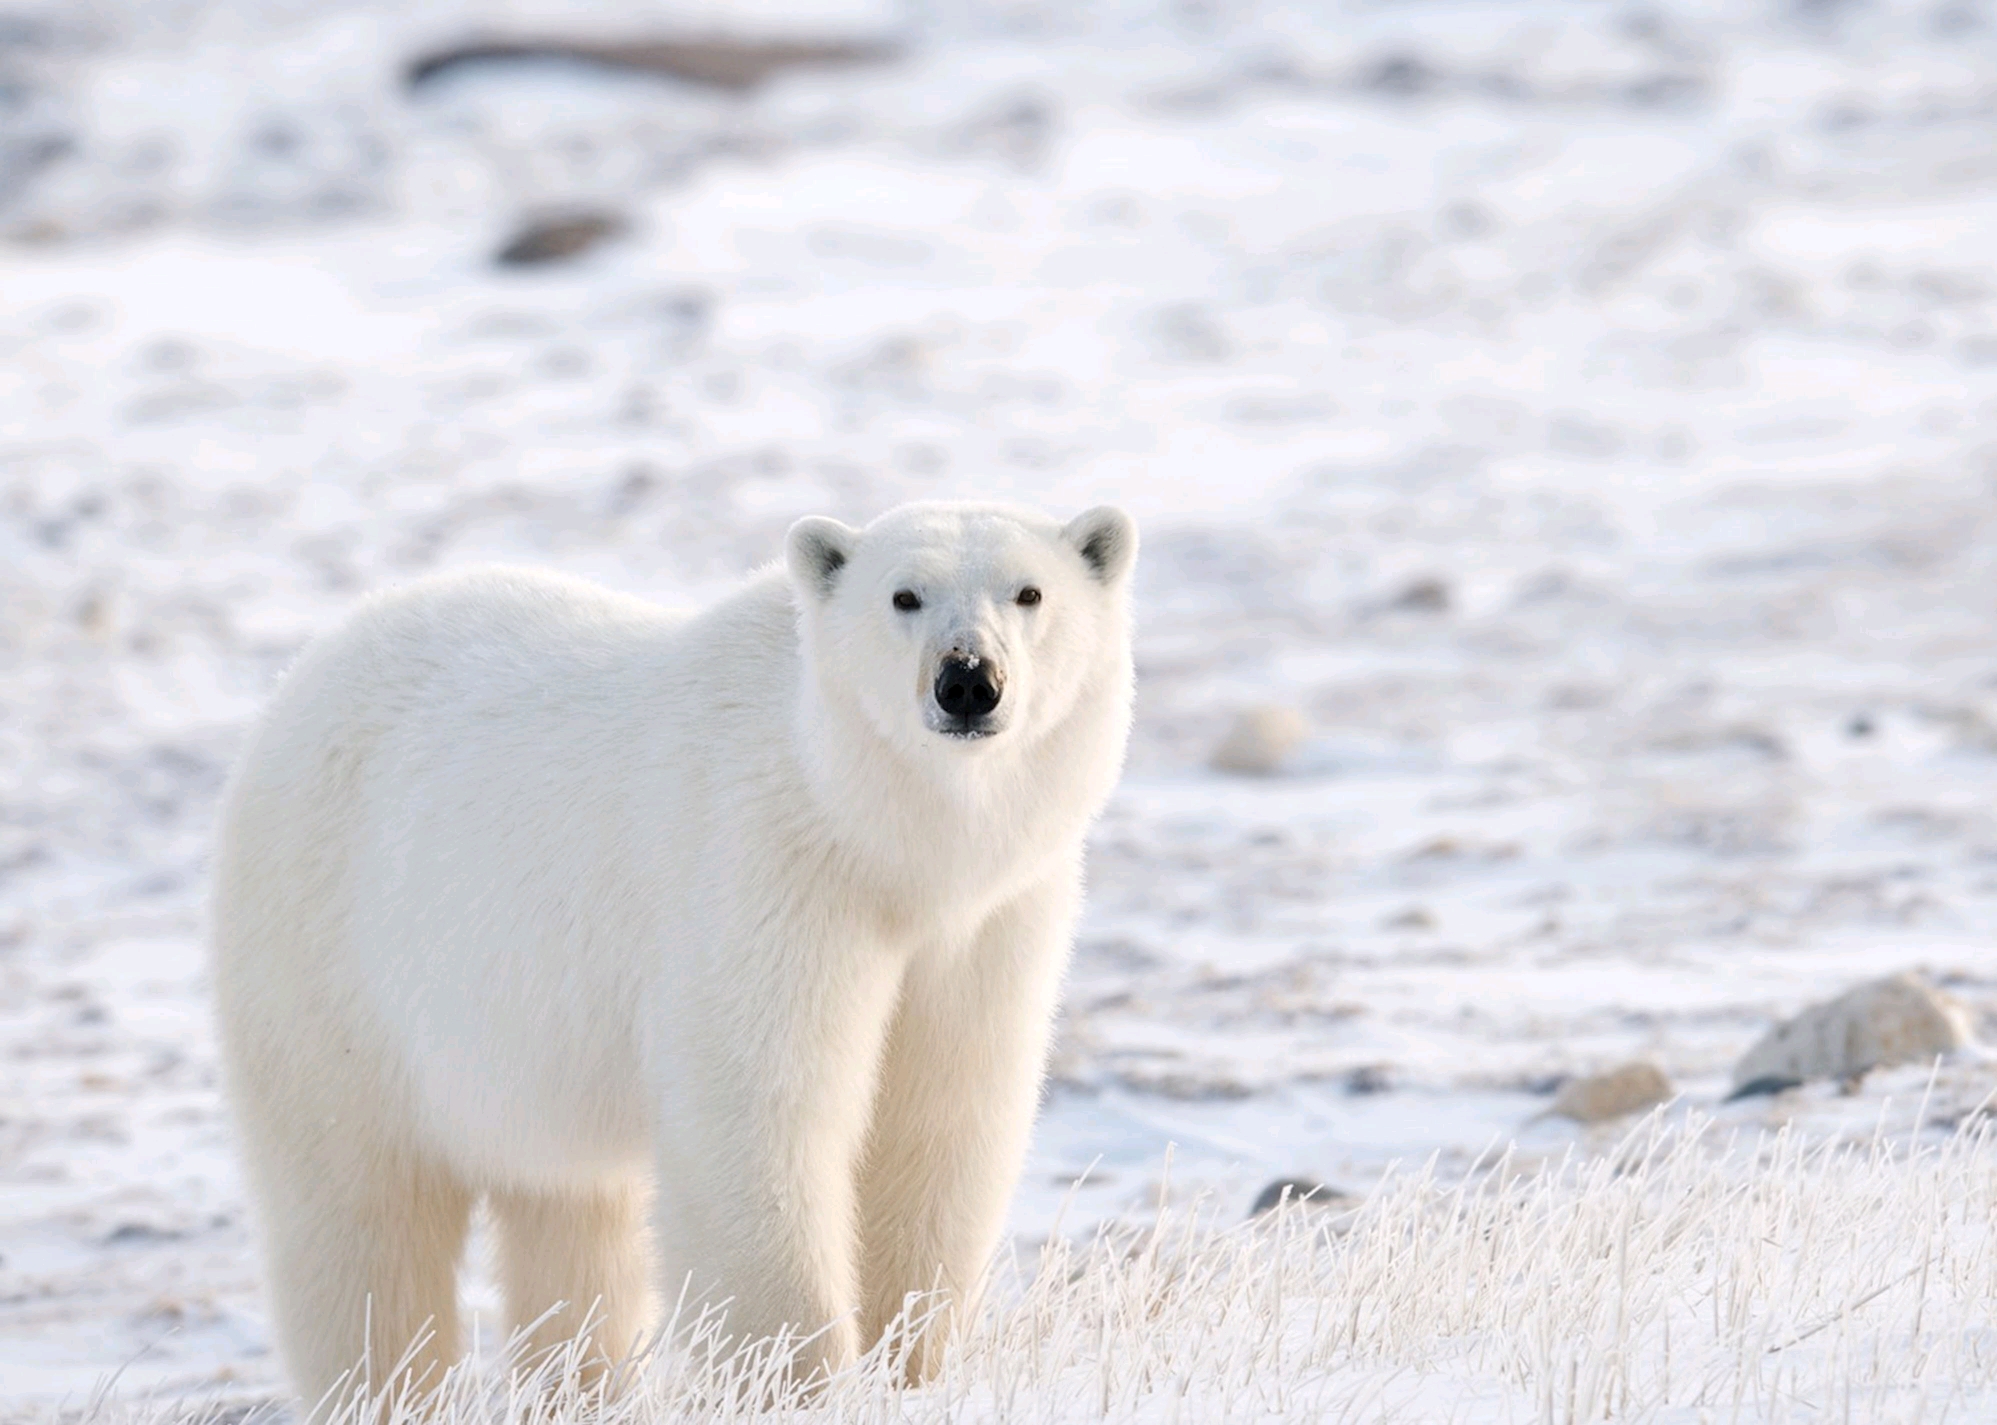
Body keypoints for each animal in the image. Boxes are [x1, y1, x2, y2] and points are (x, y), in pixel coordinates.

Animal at [210, 498, 1142, 1397]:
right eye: (903, 595)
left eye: (1029, 592)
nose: (968, 680)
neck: (876, 837)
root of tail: (303, 676)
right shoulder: (763, 873)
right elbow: (760, 1114)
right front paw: (797, 1379)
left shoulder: (987, 921)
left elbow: (941, 1116)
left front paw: (911, 1363)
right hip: (330, 970)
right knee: (361, 1225)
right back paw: (384, 1387)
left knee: (571, 1224)